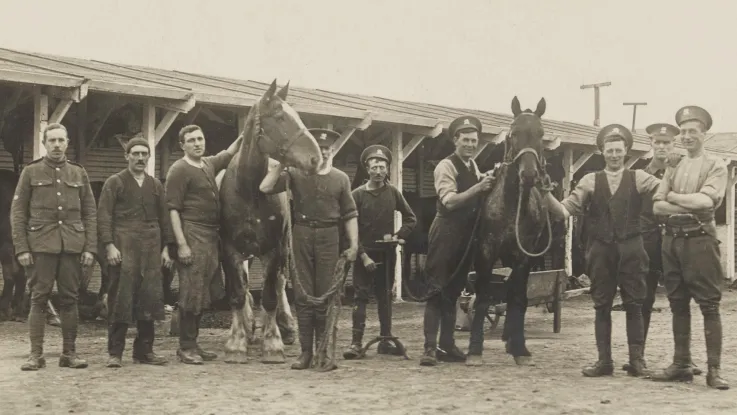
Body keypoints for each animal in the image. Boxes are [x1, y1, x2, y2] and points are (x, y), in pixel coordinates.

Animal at [218, 80, 322, 364]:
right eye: (279, 116)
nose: (315, 158)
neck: (249, 190)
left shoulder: (275, 249)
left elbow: (270, 296)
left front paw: (273, 343)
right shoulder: (230, 249)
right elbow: (238, 293)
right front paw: (236, 342)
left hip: (281, 248)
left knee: (278, 283)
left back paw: (283, 327)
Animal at [472, 96, 552, 366]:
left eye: (541, 134)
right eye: (513, 133)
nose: (528, 175)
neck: (512, 206)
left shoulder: (524, 255)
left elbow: (517, 297)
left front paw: (519, 348)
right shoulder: (486, 250)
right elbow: (483, 296)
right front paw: (474, 350)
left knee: (513, 294)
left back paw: (511, 340)